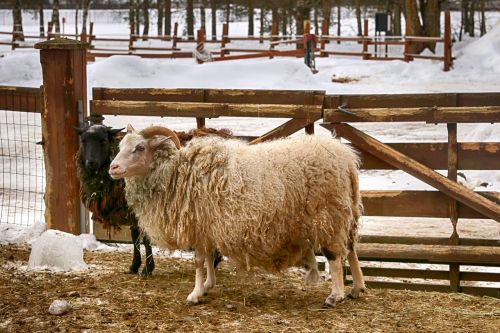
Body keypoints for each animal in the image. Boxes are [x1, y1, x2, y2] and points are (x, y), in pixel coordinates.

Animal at [109, 124, 366, 306]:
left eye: (140, 148)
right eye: (121, 147)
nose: (113, 168)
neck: (176, 173)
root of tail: (347, 160)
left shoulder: (198, 223)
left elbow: (199, 261)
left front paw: (194, 294)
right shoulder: (208, 226)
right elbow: (210, 258)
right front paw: (208, 285)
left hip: (329, 214)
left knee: (335, 257)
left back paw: (335, 296)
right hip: (348, 212)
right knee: (352, 249)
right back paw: (357, 289)